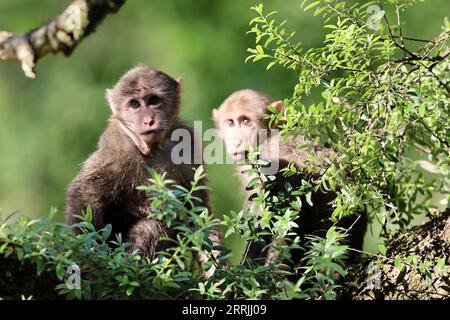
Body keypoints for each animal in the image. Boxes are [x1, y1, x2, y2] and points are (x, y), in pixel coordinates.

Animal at [67, 65, 221, 276]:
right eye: (135, 104)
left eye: (153, 101)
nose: (148, 120)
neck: (153, 148)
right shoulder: (116, 146)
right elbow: (85, 193)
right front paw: (86, 251)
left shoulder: (188, 143)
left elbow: (198, 209)